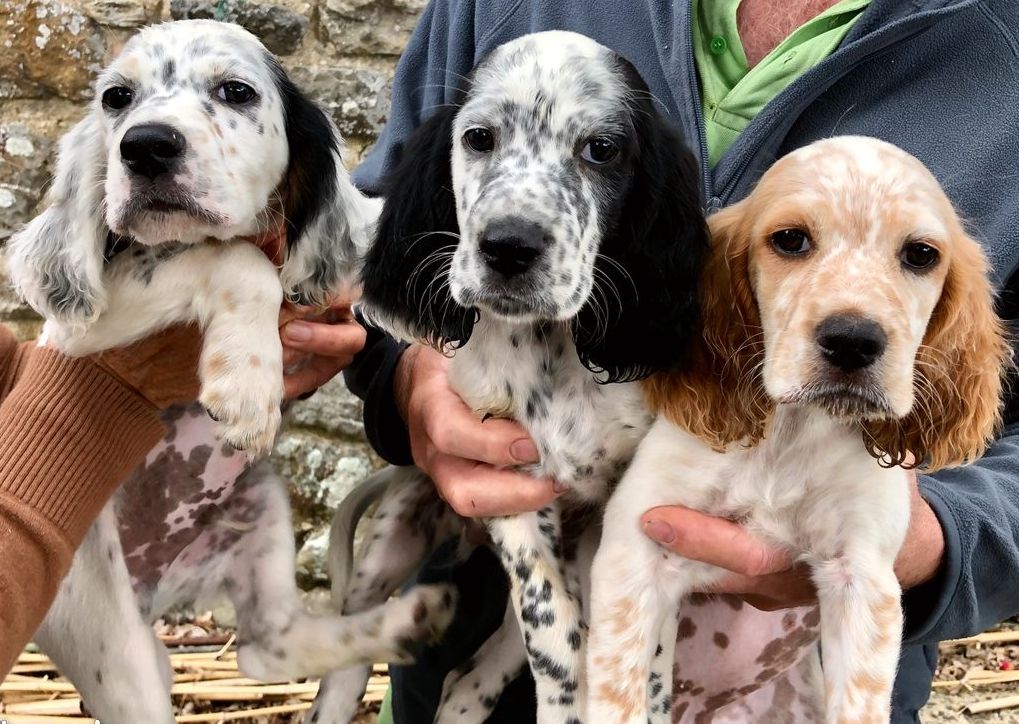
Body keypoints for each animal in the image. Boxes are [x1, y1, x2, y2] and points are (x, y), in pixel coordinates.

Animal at [338, 31, 705, 720]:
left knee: (465, 683)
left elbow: (644, 646)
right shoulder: (510, 491)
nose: (508, 247)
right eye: (478, 137)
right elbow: (556, 633)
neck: (550, 350)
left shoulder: (633, 511)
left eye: (601, 149)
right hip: (389, 549)